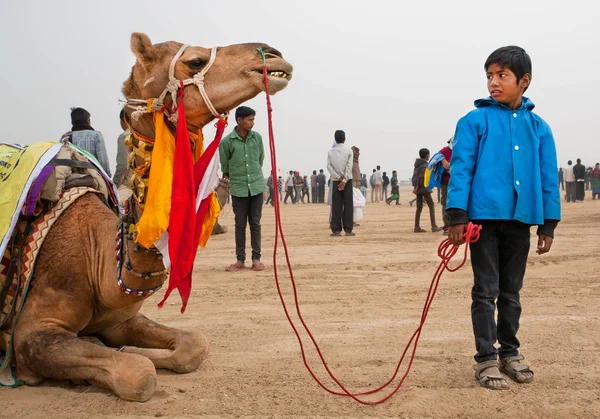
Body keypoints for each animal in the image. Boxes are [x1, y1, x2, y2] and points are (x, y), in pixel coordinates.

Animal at [7, 32, 292, 400]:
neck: (98, 259)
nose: (273, 56)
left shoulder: (121, 320)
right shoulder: (30, 332)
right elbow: (139, 375)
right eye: (195, 61)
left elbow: (194, 344)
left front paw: (122, 348)